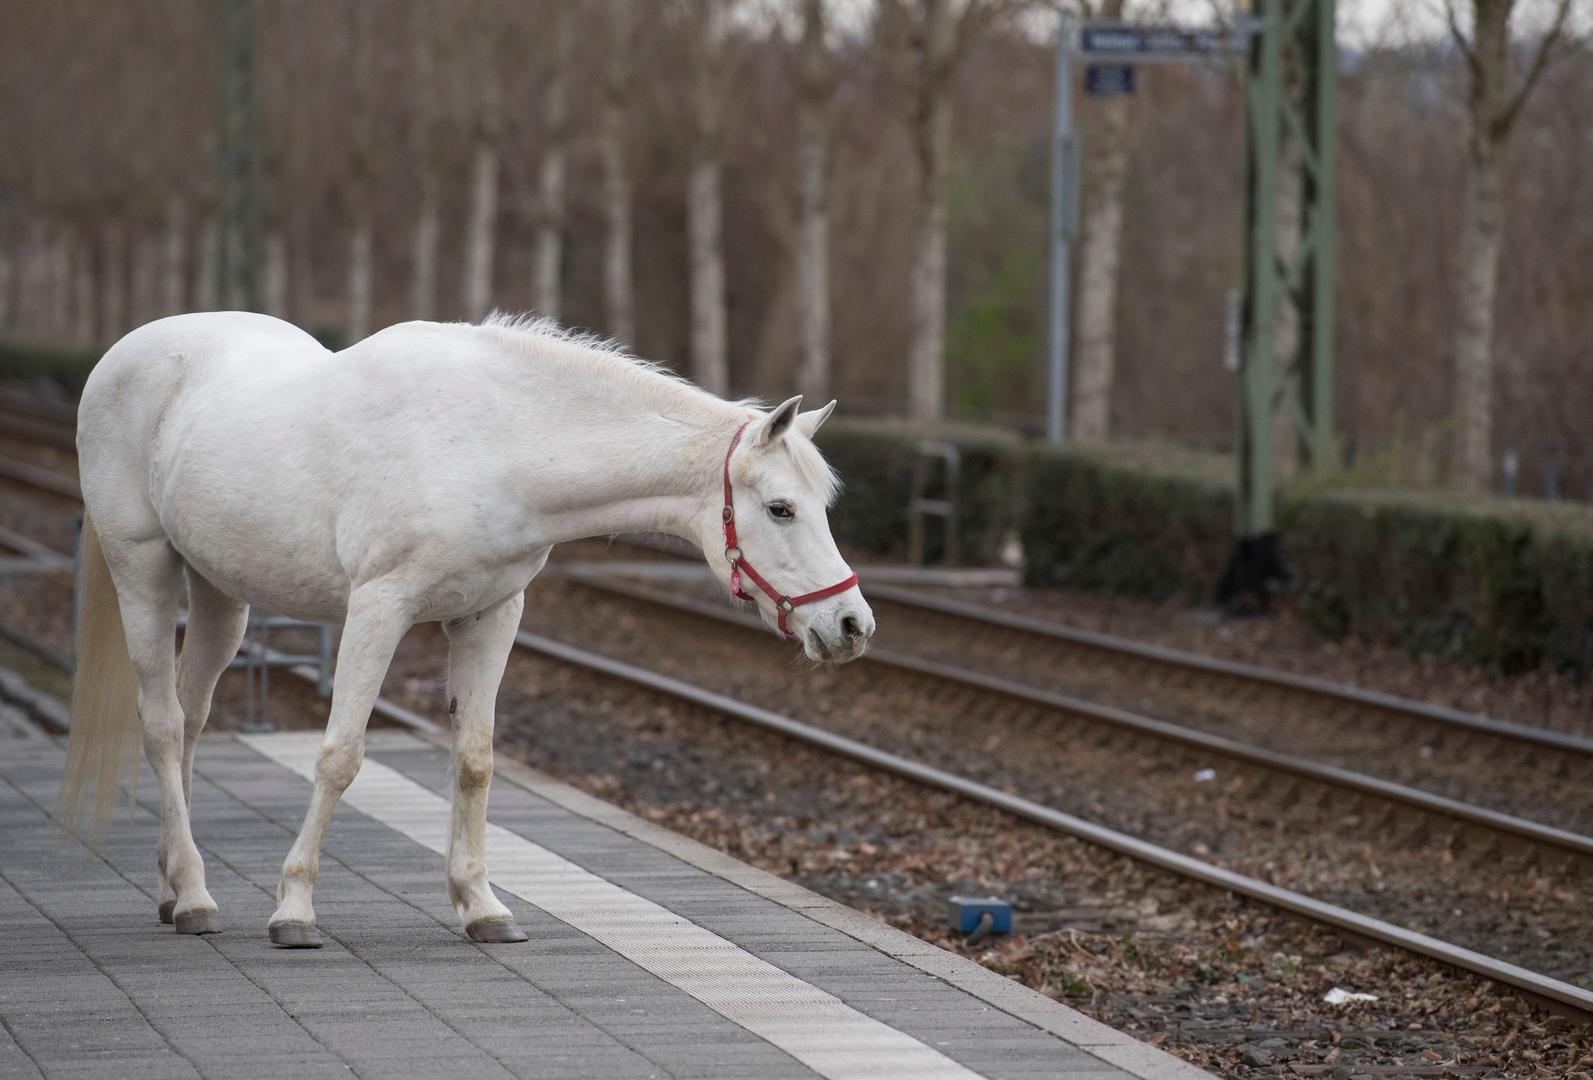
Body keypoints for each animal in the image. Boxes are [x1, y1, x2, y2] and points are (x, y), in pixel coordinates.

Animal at [58, 310, 872, 949]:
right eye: (780, 508)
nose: (852, 624)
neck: (495, 441)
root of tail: (124, 354)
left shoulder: (490, 616)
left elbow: (475, 759)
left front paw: (482, 908)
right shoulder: (378, 608)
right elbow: (340, 755)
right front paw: (294, 909)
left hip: (221, 593)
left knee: (192, 720)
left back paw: (174, 888)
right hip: (144, 570)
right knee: (163, 725)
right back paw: (197, 895)